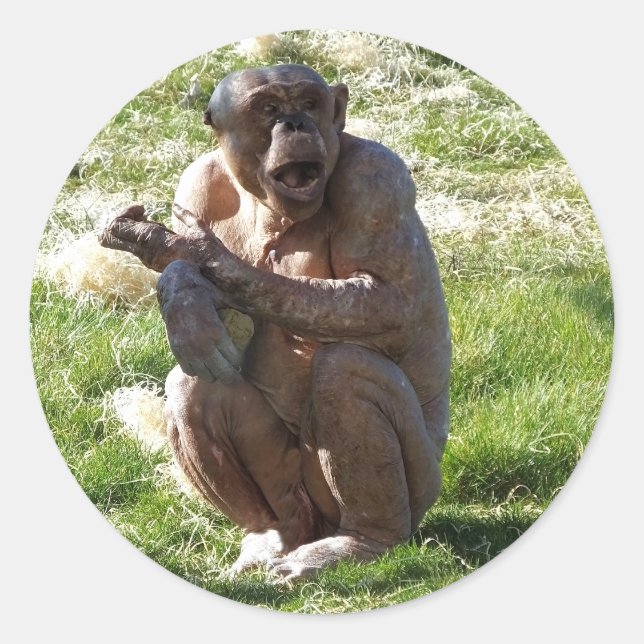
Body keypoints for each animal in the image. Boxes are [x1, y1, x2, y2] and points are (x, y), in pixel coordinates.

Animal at [99, 64, 451, 582]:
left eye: (308, 103)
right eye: (267, 109)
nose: (294, 124)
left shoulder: (378, 179)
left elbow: (391, 301)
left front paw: (198, 257)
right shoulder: (196, 181)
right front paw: (184, 291)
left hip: (421, 486)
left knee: (346, 371)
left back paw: (362, 543)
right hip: (296, 495)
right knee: (195, 382)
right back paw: (270, 536)